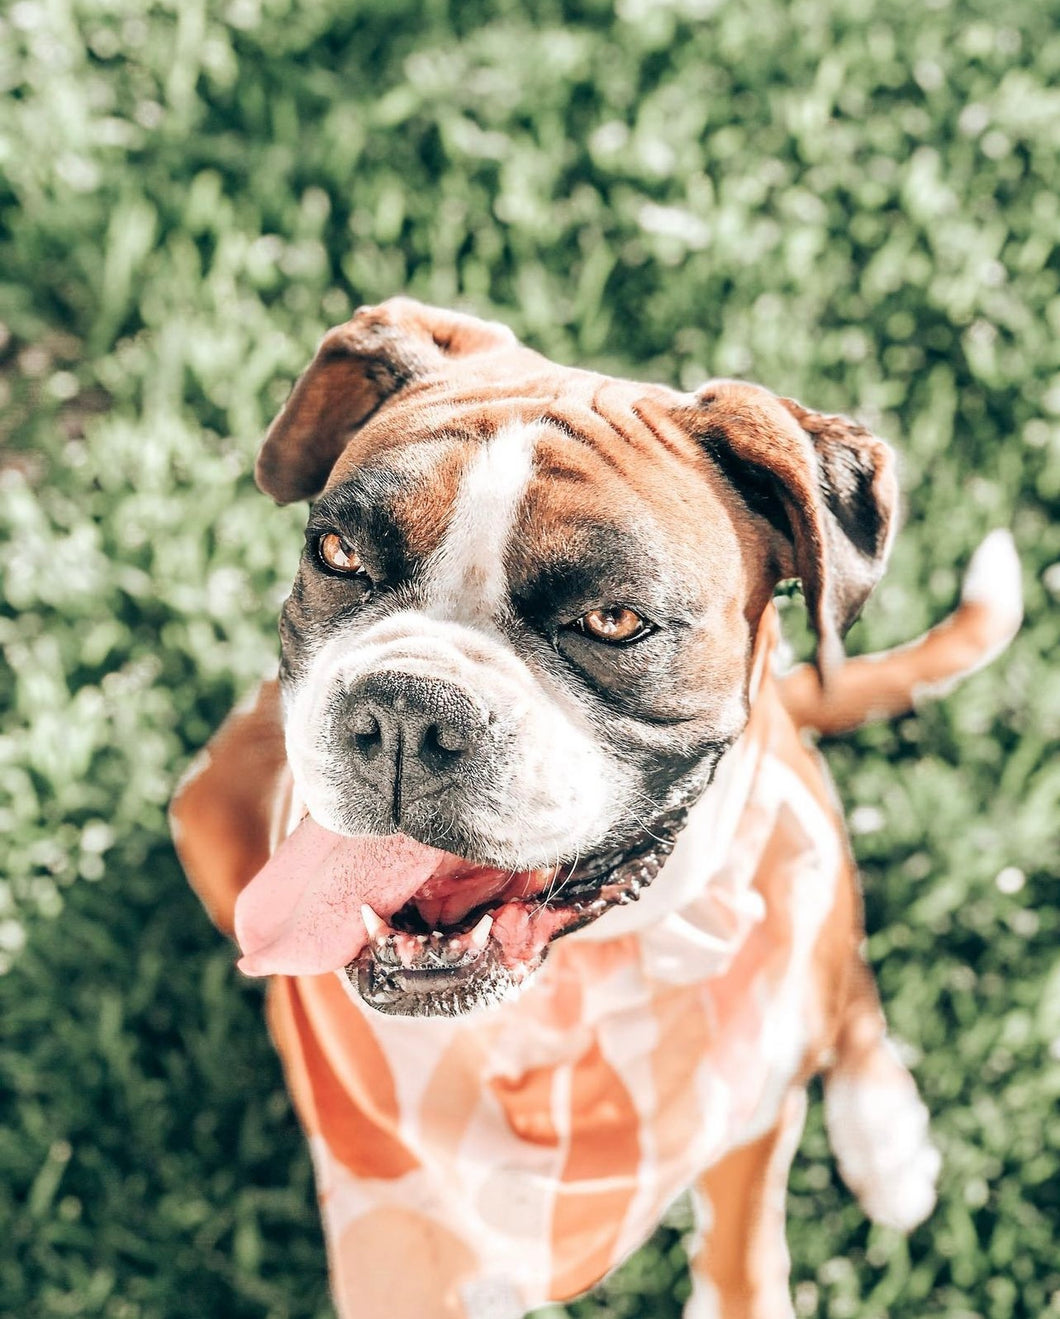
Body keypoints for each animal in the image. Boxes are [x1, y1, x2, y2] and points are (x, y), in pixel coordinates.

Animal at [170, 299, 1023, 1319]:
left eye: (614, 622)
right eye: (339, 555)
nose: (409, 708)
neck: (579, 986)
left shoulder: (746, 1137)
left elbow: (741, 1267)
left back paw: (883, 1136)